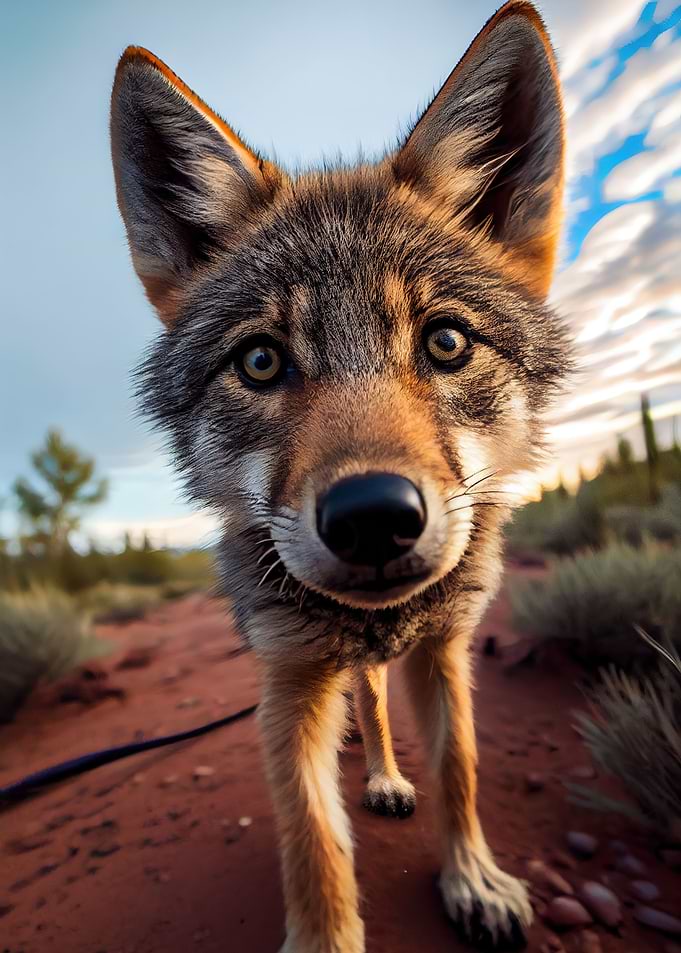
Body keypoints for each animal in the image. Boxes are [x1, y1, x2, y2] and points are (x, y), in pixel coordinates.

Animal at [110, 2, 570, 949]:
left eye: (445, 341)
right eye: (259, 360)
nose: (371, 516)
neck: (376, 622)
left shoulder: (444, 650)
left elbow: (461, 769)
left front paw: (472, 877)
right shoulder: (287, 683)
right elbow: (311, 840)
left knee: (379, 701)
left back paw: (389, 775)